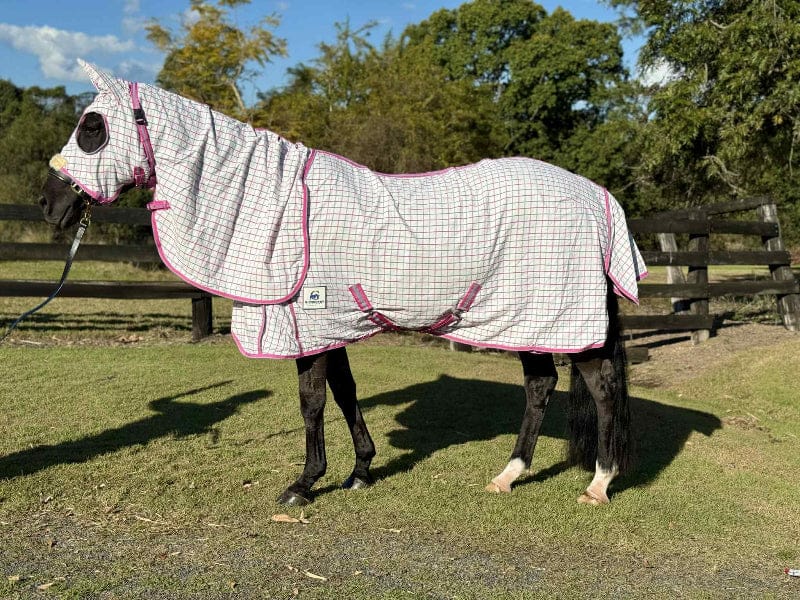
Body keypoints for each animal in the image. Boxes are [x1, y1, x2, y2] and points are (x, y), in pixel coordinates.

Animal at [40, 61, 647, 507]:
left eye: (92, 127)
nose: (50, 203)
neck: (282, 206)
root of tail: (599, 199)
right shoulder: (327, 326)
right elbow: (345, 392)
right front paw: (359, 470)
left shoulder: (303, 323)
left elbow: (311, 402)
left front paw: (304, 484)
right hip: (528, 322)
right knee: (541, 387)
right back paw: (508, 476)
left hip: (565, 321)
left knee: (602, 389)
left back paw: (599, 483)